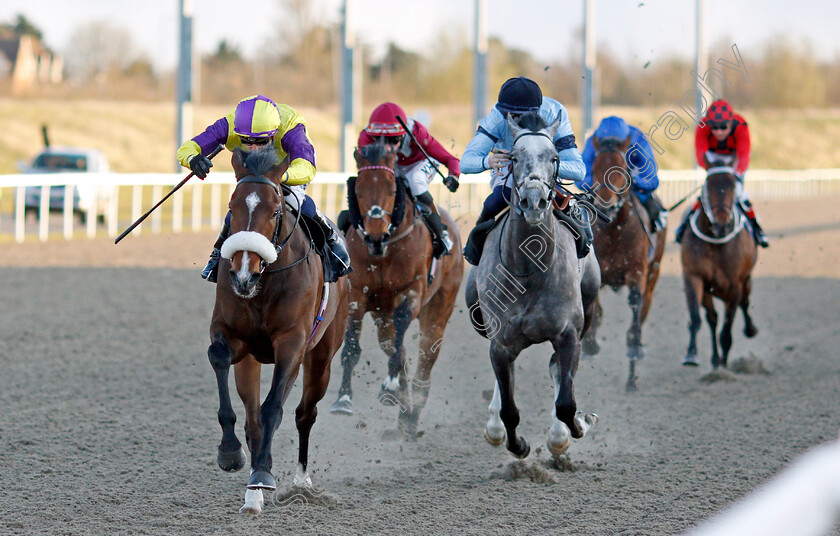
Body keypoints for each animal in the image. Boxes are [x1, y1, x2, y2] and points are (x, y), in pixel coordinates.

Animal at [208, 147, 350, 516]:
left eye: (274, 211)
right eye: (231, 208)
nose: (243, 274)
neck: (264, 282)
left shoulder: (292, 343)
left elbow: (274, 408)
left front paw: (262, 473)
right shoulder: (231, 334)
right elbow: (219, 358)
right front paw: (230, 453)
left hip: (321, 354)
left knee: (304, 413)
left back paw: (301, 482)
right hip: (251, 361)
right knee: (253, 418)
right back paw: (253, 492)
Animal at [328, 139, 462, 440]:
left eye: (391, 190)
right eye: (359, 190)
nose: (375, 235)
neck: (384, 252)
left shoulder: (411, 292)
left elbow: (402, 332)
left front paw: (389, 386)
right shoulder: (357, 296)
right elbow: (352, 346)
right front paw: (343, 398)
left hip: (440, 308)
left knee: (425, 359)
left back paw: (410, 415)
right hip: (382, 314)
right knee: (393, 347)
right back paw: (402, 405)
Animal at [466, 113, 604, 456]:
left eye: (554, 157)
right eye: (514, 158)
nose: (534, 200)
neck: (530, 268)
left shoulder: (569, 334)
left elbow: (566, 404)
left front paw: (578, 425)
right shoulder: (501, 343)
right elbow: (509, 409)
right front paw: (516, 444)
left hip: (589, 307)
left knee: (557, 372)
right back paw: (495, 428)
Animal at [580, 136, 668, 392]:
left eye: (622, 169)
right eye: (595, 167)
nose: (606, 206)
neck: (614, 230)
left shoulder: (637, 273)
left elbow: (634, 313)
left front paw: (634, 351)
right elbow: (597, 310)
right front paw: (590, 345)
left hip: (653, 273)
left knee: (642, 310)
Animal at [680, 165, 756, 368]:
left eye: (732, 186)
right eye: (708, 185)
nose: (721, 225)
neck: (716, 243)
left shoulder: (735, 285)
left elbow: (727, 330)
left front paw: (723, 364)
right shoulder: (695, 278)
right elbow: (699, 318)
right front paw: (692, 354)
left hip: (746, 281)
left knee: (745, 302)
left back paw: (751, 329)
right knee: (713, 318)